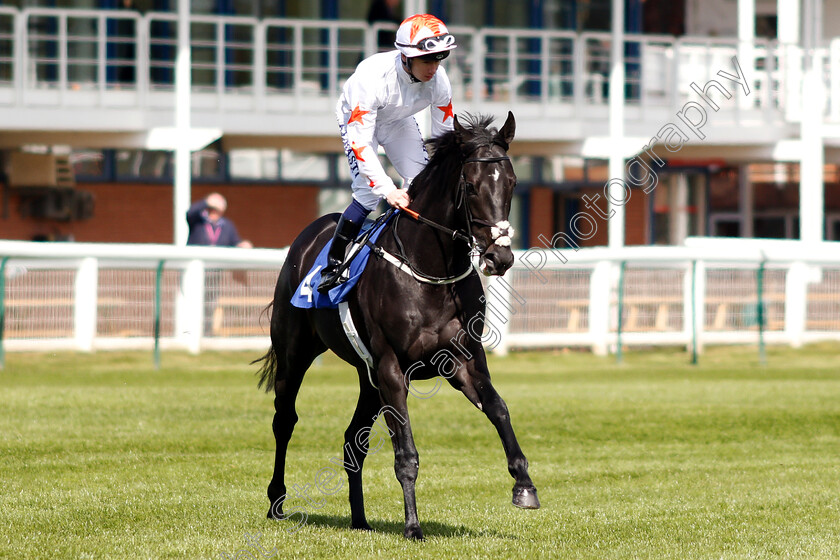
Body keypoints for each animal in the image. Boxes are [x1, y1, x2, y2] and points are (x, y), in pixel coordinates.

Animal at [256, 110, 540, 540]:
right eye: (471, 185)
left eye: (512, 182)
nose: (500, 256)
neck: (431, 270)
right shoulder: (392, 368)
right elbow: (405, 452)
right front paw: (413, 525)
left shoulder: (463, 361)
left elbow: (499, 408)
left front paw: (524, 485)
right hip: (296, 353)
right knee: (284, 420)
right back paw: (276, 502)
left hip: (367, 377)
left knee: (351, 442)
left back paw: (359, 519)